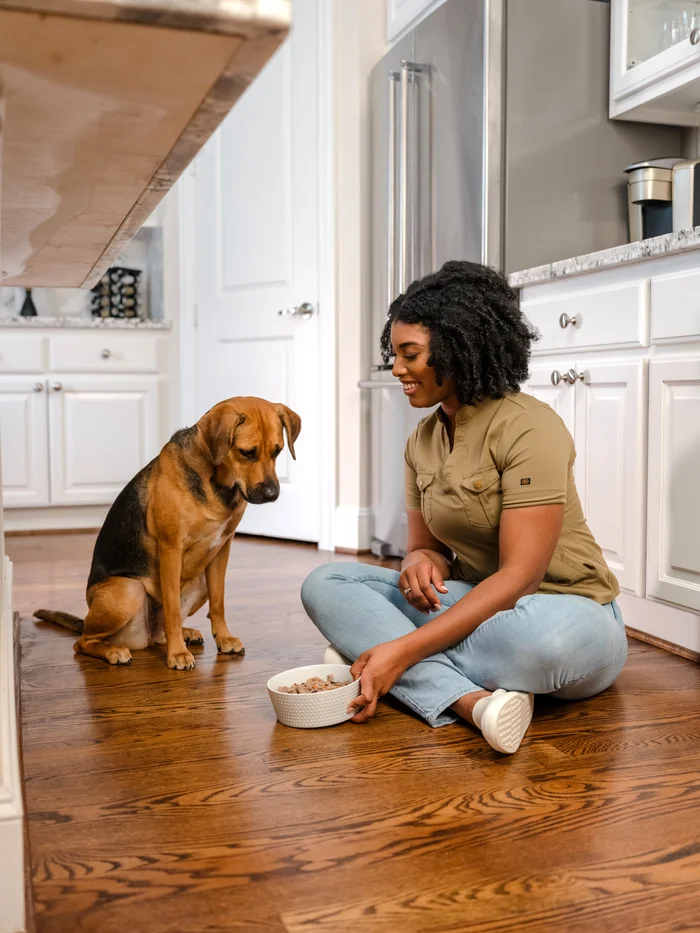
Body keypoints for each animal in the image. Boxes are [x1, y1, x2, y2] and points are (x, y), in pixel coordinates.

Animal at [34, 396, 300, 668]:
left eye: (278, 451)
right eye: (247, 453)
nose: (272, 494)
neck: (217, 483)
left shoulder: (221, 549)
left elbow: (219, 602)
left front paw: (223, 638)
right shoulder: (172, 548)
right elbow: (172, 610)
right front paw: (178, 654)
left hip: (199, 583)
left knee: (160, 631)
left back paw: (185, 633)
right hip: (128, 591)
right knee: (83, 641)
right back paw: (114, 651)